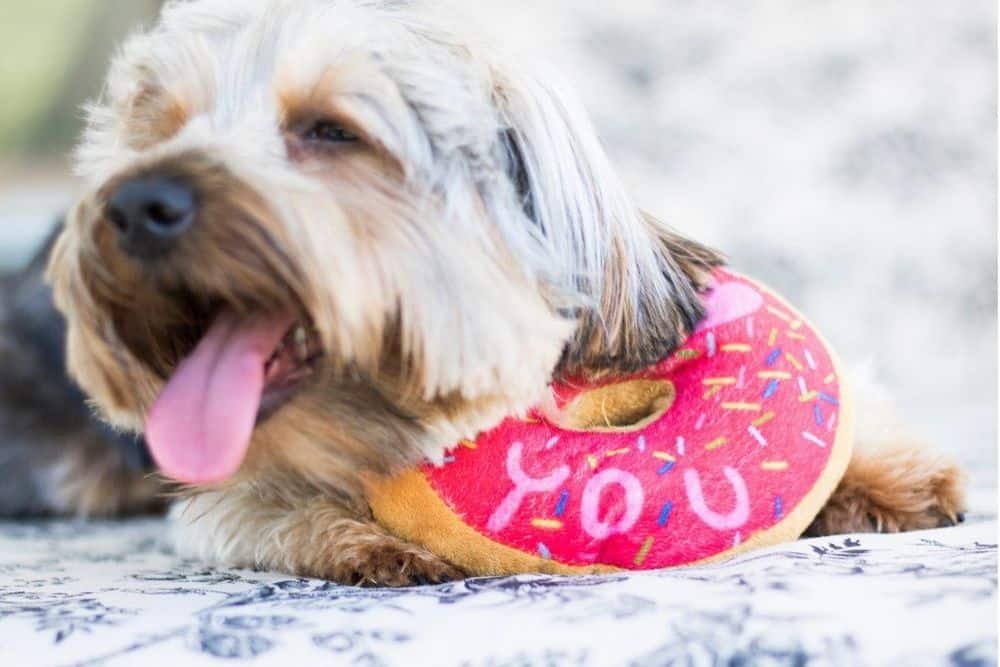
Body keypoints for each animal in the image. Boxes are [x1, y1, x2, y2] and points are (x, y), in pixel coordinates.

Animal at [48, 0, 968, 584]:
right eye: (156, 133)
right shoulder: (219, 501)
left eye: (332, 131)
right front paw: (356, 539)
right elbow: (252, 511)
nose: (136, 203)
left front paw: (888, 482)